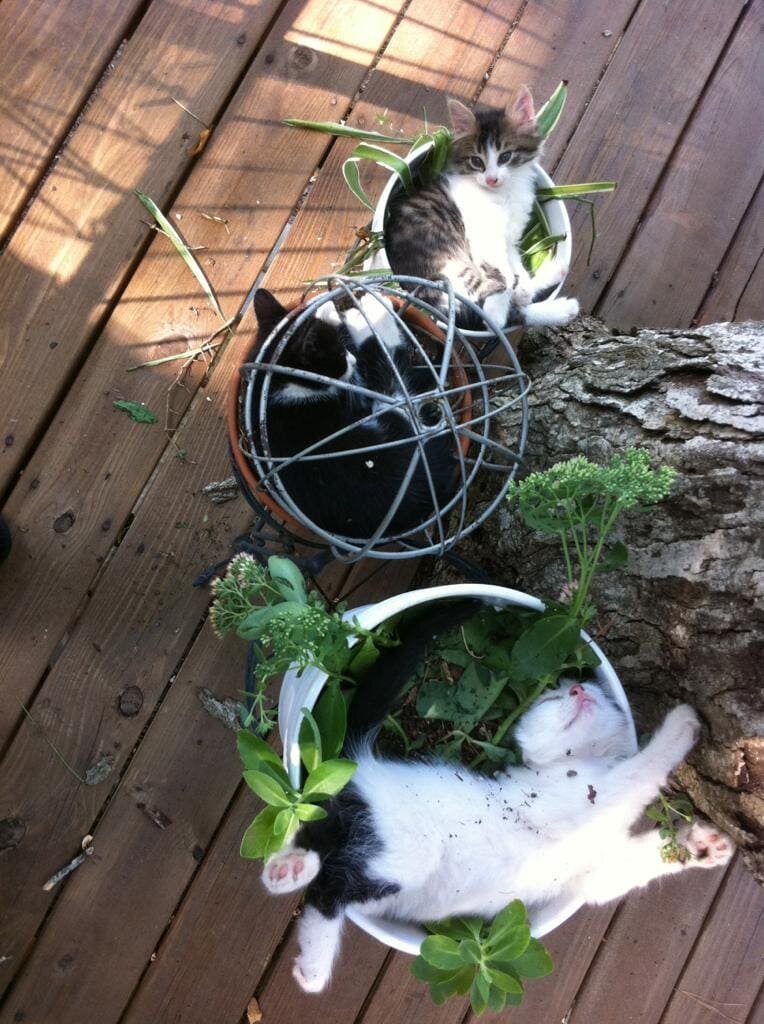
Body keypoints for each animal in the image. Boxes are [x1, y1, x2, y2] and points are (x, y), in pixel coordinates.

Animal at [249, 288, 454, 540]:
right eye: (339, 354)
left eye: (343, 348)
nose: (353, 360)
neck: (280, 384)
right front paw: (368, 316)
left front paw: (328, 312)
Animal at [260, 598, 733, 991]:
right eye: (551, 698)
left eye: (587, 689)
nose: (578, 690)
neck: (584, 761)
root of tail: (362, 765)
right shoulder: (585, 800)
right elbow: (638, 773)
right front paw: (679, 728)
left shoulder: (589, 872)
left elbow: (625, 868)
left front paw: (700, 845)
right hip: (407, 853)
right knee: (332, 884)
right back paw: (311, 955)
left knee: (325, 850)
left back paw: (289, 872)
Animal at [383, 88, 573, 329]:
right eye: (476, 161)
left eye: (505, 157)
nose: (491, 179)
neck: (504, 193)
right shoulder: (484, 233)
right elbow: (503, 271)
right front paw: (500, 305)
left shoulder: (510, 238)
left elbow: (516, 266)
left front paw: (524, 288)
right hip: (449, 268)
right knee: (488, 303)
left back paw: (554, 279)